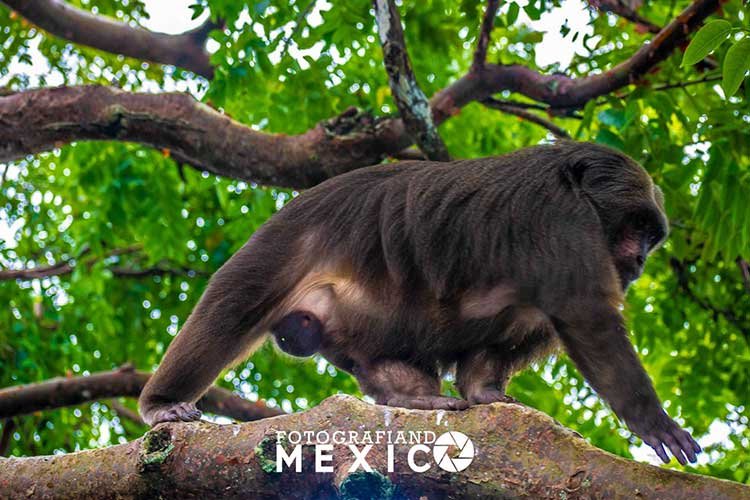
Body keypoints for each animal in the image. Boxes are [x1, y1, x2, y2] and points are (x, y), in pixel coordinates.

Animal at [139, 141, 701, 465]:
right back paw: (161, 402)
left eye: (652, 236)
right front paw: (653, 420)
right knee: (231, 307)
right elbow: (584, 312)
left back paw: (408, 398)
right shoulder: (561, 217)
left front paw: (483, 391)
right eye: (635, 228)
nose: (640, 259)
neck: (573, 183)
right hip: (282, 247)